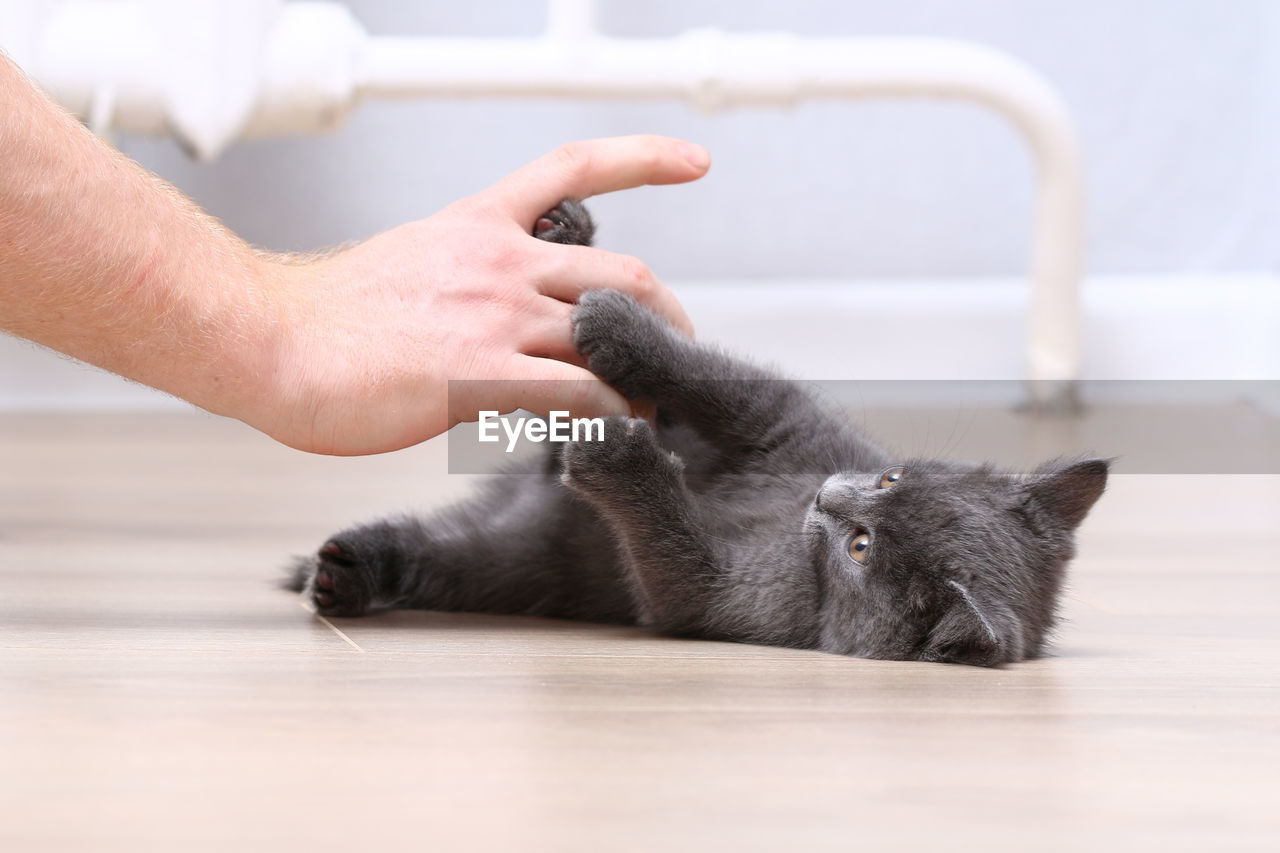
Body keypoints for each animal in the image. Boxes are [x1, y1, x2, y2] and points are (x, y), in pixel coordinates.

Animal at [285, 199, 1105, 666]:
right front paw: (619, 324)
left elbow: (675, 560)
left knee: (447, 552)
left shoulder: (731, 603)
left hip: (513, 564)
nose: (828, 497)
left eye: (861, 547)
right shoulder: (785, 423)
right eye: (890, 476)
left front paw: (621, 456)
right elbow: (716, 381)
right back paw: (568, 237)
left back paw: (348, 573)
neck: (787, 519)